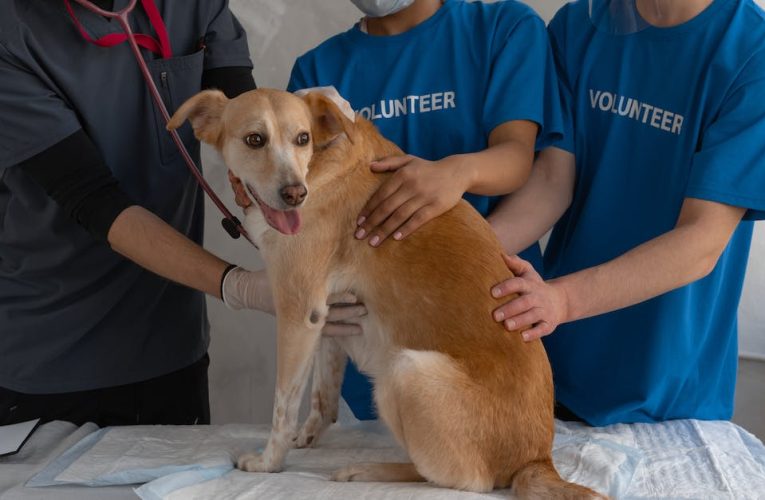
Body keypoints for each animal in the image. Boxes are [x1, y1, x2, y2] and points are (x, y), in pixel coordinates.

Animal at [167, 90, 604, 500]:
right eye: (254, 139)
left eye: (302, 138)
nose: (295, 194)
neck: (320, 162)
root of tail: (537, 460)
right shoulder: (328, 316)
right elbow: (323, 396)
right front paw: (305, 438)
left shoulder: (298, 311)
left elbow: (283, 406)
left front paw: (269, 462)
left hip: (406, 369)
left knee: (464, 479)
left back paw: (369, 469)